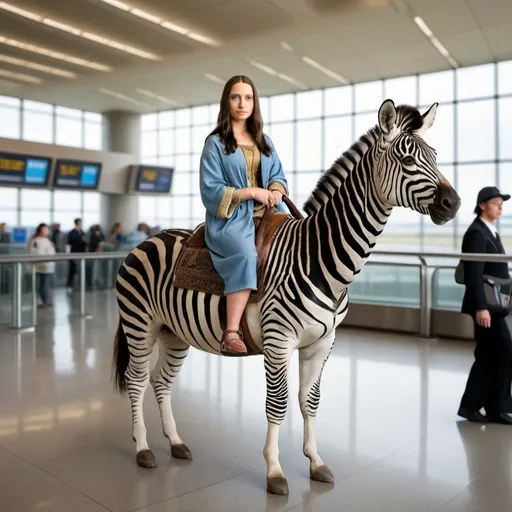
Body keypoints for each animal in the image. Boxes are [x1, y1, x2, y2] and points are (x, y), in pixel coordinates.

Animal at [111, 98, 460, 494]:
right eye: (406, 160)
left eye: (434, 155)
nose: (453, 203)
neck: (318, 259)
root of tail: (147, 240)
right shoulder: (278, 341)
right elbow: (277, 404)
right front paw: (275, 472)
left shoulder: (322, 343)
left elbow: (310, 401)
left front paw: (316, 462)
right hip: (140, 325)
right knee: (137, 380)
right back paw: (143, 449)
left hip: (174, 333)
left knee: (161, 381)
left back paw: (176, 443)